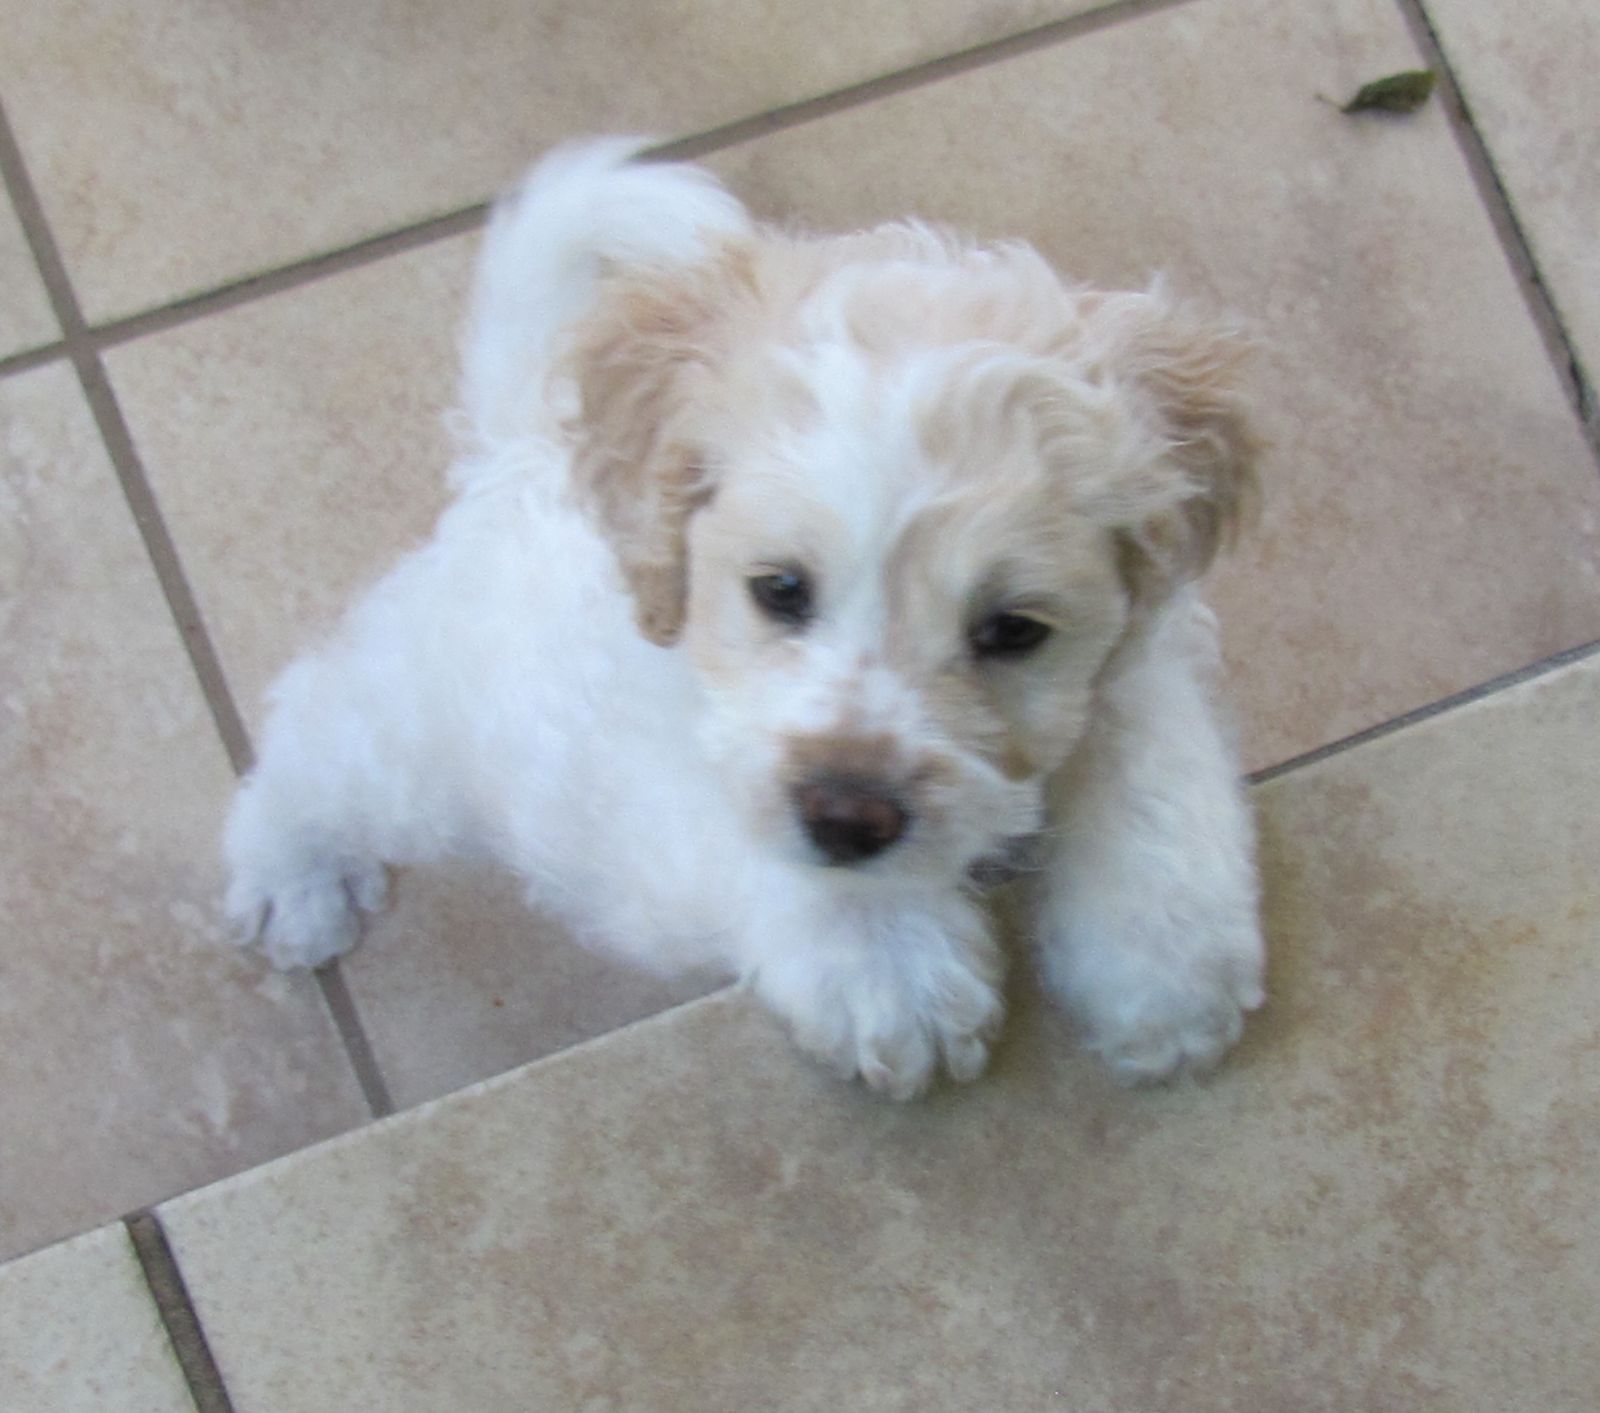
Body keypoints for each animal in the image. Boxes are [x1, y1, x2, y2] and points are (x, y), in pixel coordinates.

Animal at [224, 138, 1265, 1100]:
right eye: (780, 589)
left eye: (1013, 630)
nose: (849, 818)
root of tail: (518, 451)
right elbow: (764, 831)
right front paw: (892, 972)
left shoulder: (1139, 657)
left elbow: (1148, 773)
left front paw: (1169, 970)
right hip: (422, 743)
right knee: (312, 731)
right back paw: (291, 884)